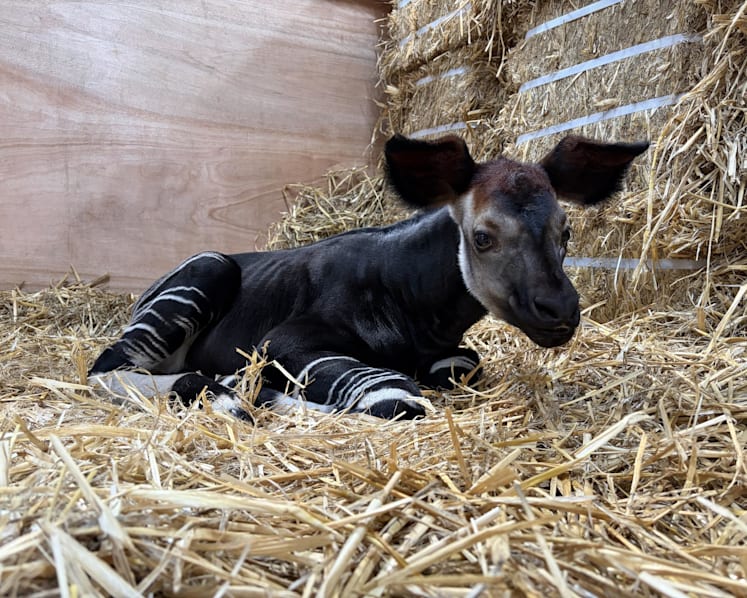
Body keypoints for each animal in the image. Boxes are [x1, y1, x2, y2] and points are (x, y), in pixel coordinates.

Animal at [89, 134, 648, 422]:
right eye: (483, 237)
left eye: (566, 231)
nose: (561, 311)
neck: (418, 306)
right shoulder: (283, 341)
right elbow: (394, 394)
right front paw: (263, 395)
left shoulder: (452, 355)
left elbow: (461, 366)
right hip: (207, 270)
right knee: (106, 368)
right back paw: (226, 392)